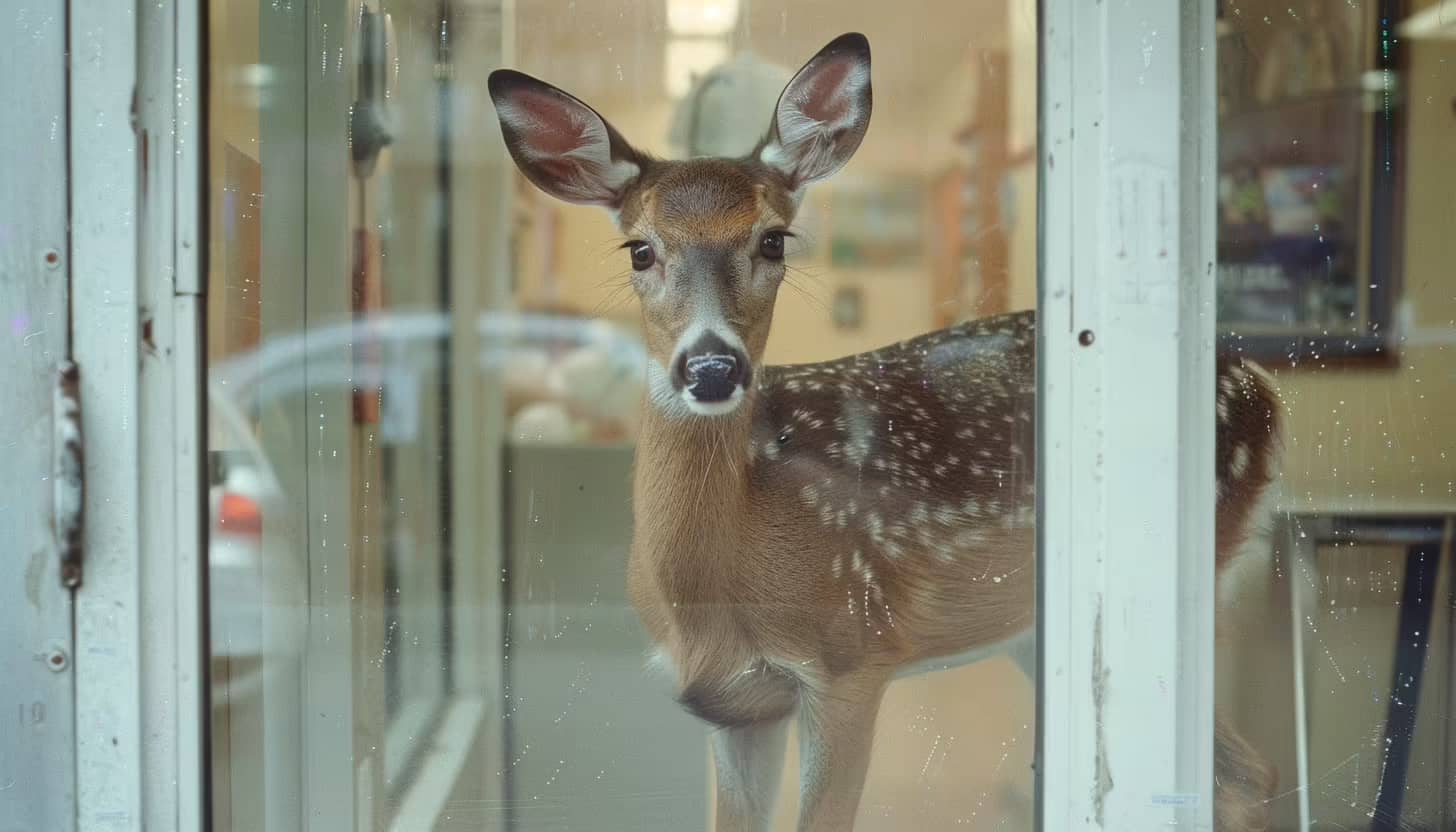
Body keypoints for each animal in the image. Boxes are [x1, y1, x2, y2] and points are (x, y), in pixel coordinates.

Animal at [489, 32, 1281, 832]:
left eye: (773, 241)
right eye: (640, 249)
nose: (712, 367)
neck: (717, 587)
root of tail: (1261, 382)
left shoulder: (852, 653)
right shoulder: (738, 704)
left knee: (1242, 773)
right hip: (1028, 627)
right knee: (1242, 773)